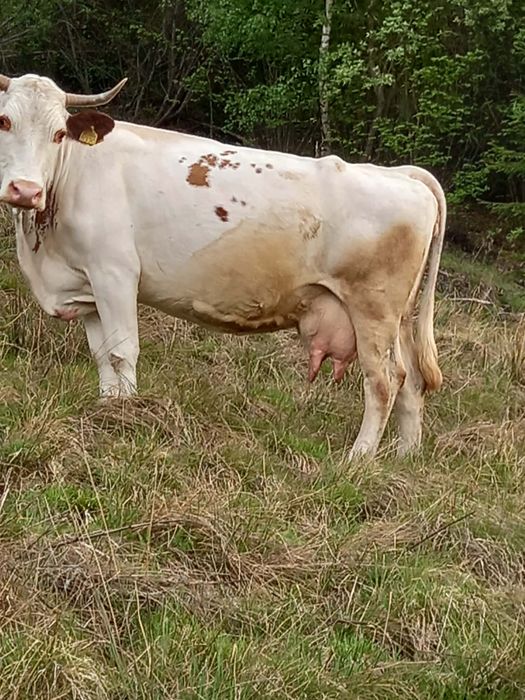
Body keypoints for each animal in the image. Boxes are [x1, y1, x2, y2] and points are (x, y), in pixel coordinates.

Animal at [0, 73, 446, 459]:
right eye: (4, 121)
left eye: (59, 133)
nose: (25, 190)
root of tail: (401, 174)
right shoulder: (86, 284)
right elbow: (102, 356)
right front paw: (107, 409)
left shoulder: (115, 275)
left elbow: (123, 352)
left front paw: (126, 417)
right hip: (399, 320)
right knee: (411, 381)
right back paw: (404, 456)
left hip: (373, 311)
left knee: (384, 381)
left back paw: (359, 458)